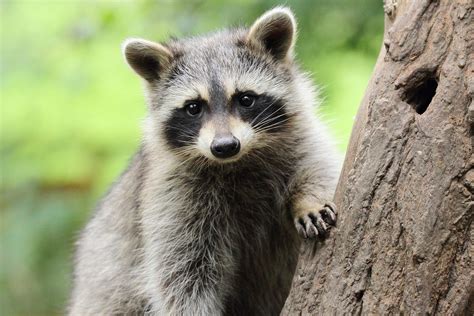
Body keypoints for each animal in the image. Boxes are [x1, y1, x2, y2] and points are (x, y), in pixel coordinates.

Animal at [69, 7, 340, 316]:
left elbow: (319, 167)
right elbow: (182, 274)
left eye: (245, 99)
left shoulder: (301, 138)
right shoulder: (173, 195)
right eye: (193, 107)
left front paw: (309, 200)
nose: (224, 146)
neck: (237, 161)